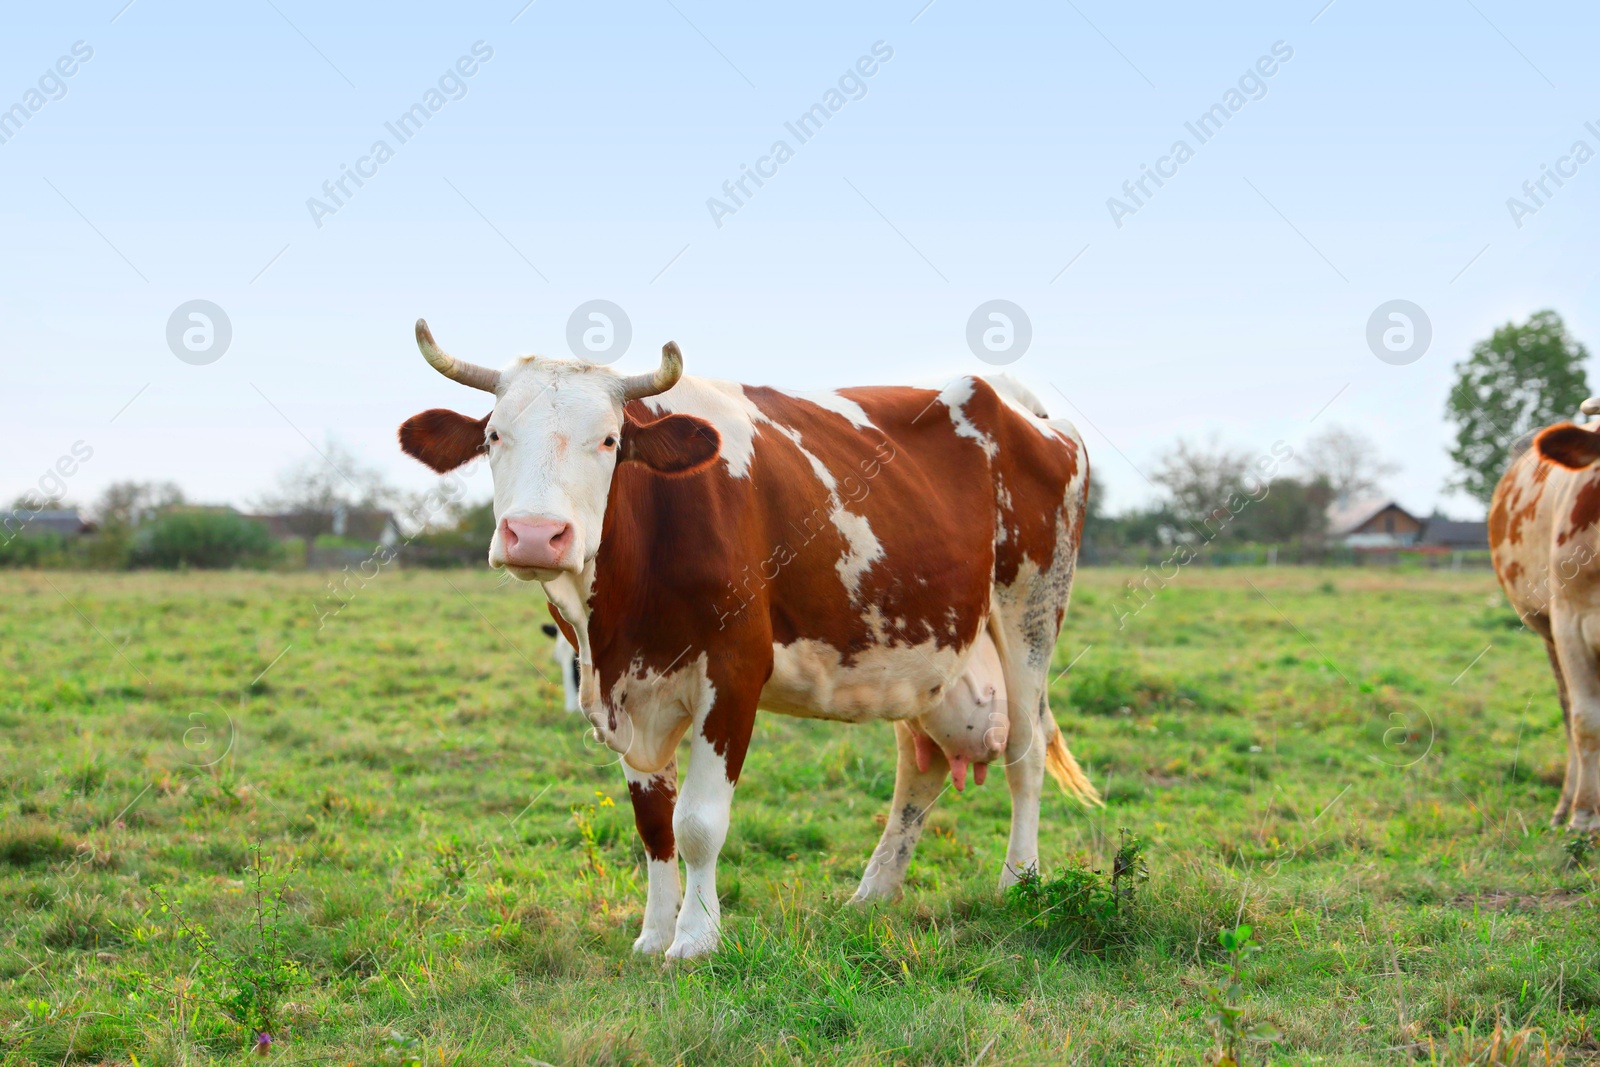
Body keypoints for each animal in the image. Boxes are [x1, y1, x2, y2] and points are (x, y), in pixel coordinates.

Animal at [396, 319, 1100, 959]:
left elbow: (698, 823)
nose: (537, 535)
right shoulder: (626, 691)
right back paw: (872, 895)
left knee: (1026, 750)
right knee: (918, 768)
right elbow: (654, 826)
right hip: (923, 653)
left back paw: (1019, 882)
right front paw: (653, 936)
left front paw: (695, 940)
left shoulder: (734, 672)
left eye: (610, 439)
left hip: (1031, 613)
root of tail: (1012, 397)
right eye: (494, 435)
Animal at [1491, 396, 1600, 831]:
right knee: (1569, 710)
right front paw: (1585, 817)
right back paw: (1566, 805)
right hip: (1548, 629)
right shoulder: (1572, 625)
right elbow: (1587, 722)